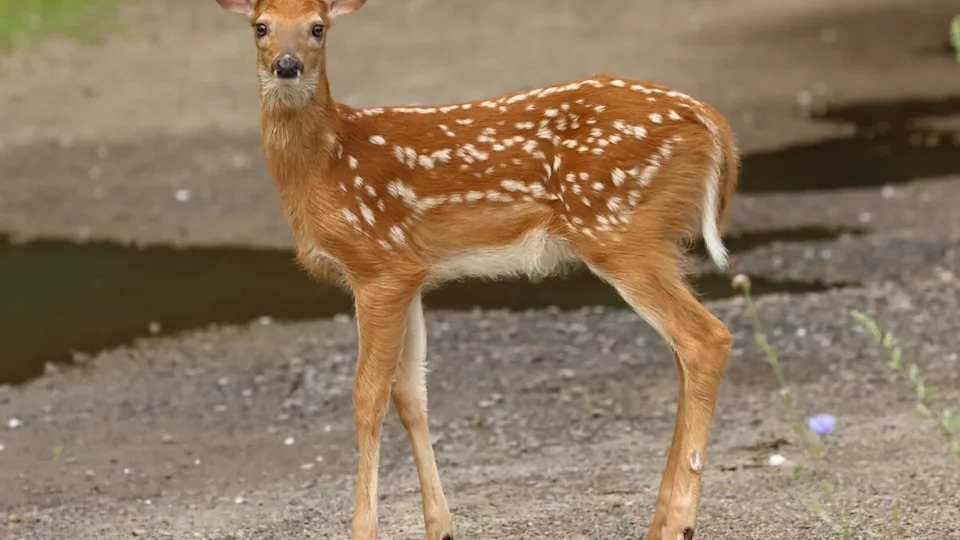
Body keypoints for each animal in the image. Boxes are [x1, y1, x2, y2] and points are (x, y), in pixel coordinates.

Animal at [212, 1, 739, 538]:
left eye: (317, 26)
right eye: (260, 27)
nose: (287, 65)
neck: (325, 165)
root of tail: (712, 121)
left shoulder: (378, 264)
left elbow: (367, 395)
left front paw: (364, 528)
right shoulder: (411, 272)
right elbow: (411, 394)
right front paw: (439, 526)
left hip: (618, 229)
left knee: (705, 338)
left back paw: (679, 522)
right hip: (649, 238)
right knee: (682, 351)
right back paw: (659, 521)